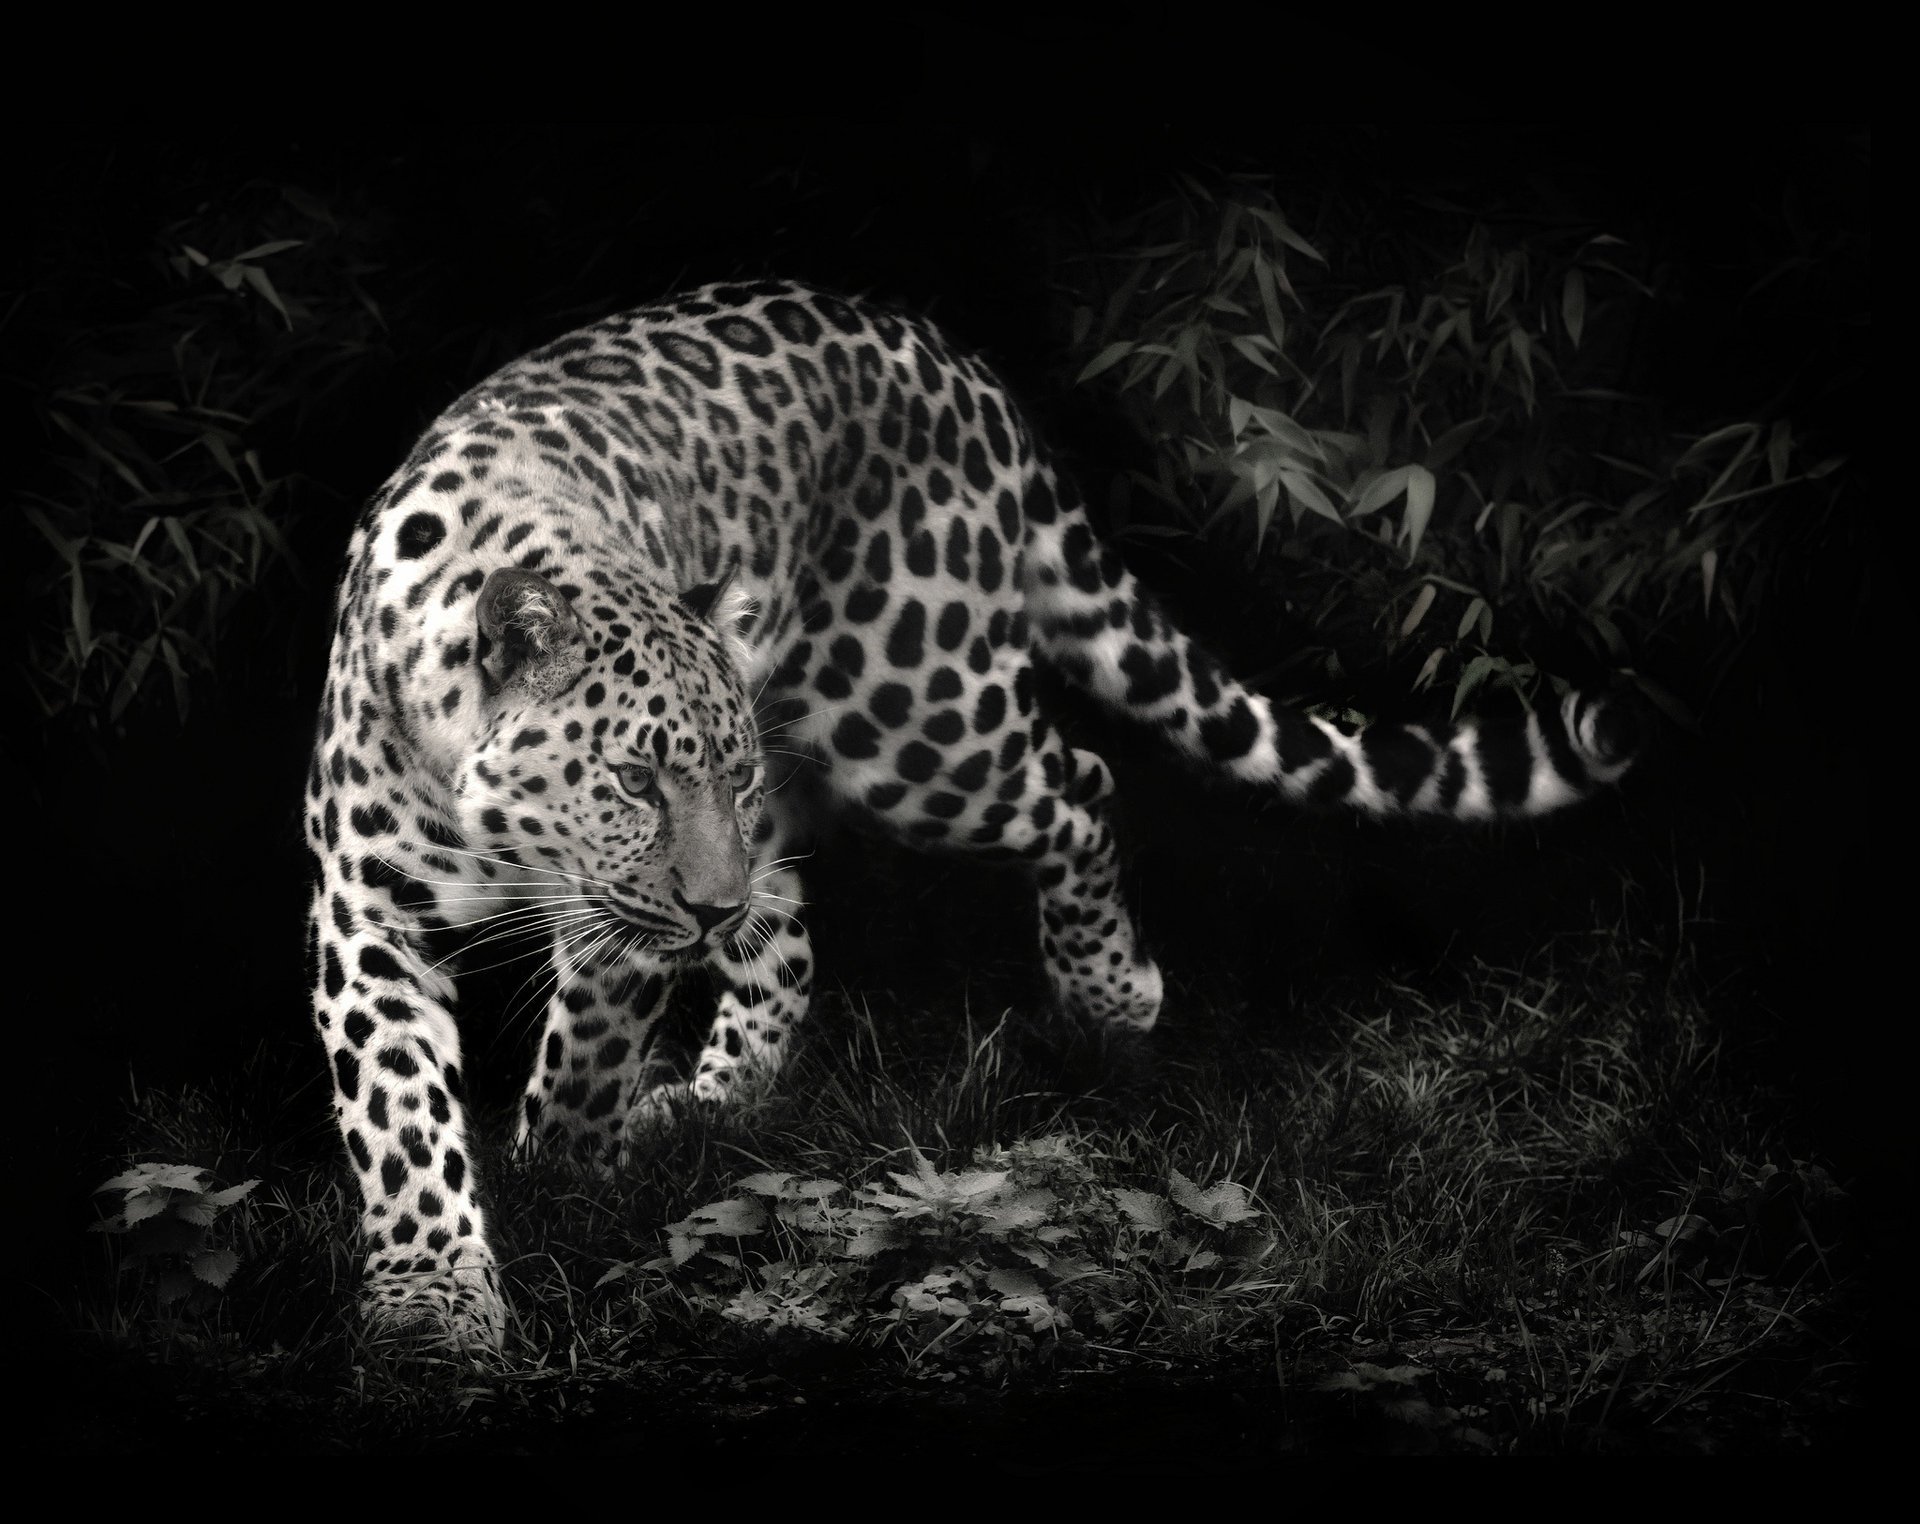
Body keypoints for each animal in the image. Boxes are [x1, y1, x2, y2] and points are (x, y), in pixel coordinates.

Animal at [304, 278, 1638, 1349]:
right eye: (636, 779)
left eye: (721, 777)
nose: (706, 907)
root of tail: (960, 367)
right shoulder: (365, 914)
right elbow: (400, 1114)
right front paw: (432, 1294)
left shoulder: (625, 917)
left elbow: (585, 1048)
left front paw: (563, 1175)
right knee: (791, 924)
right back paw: (722, 1094)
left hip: (916, 721)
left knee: (1076, 785)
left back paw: (1107, 997)